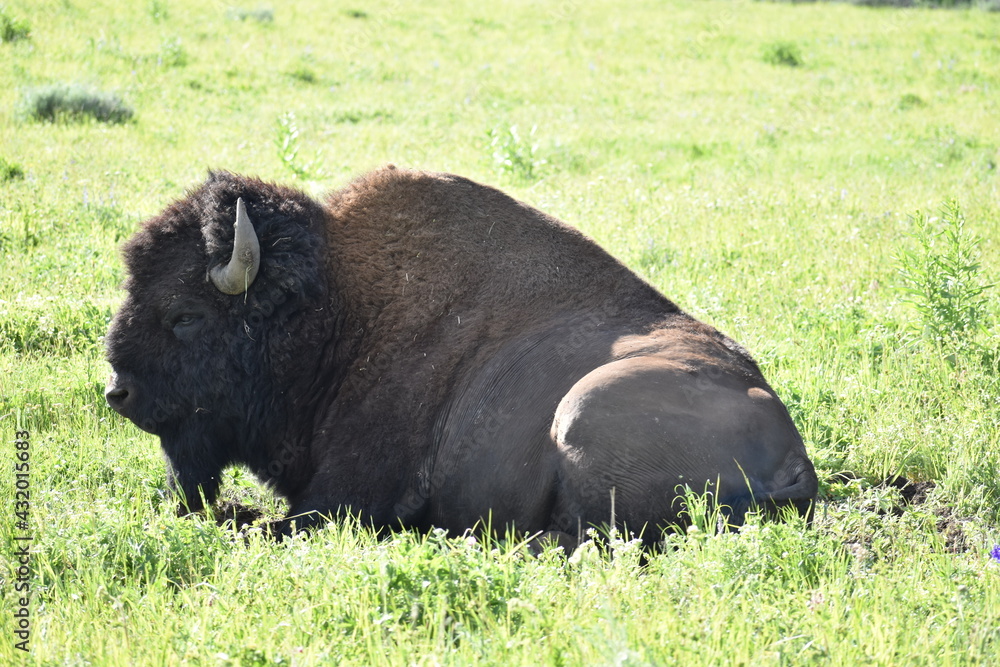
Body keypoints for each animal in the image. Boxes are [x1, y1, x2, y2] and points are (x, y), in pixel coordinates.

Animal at [105, 166, 816, 548]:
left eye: (185, 315)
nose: (119, 392)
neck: (336, 309)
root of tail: (796, 460)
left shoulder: (344, 497)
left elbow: (276, 523)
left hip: (583, 409)